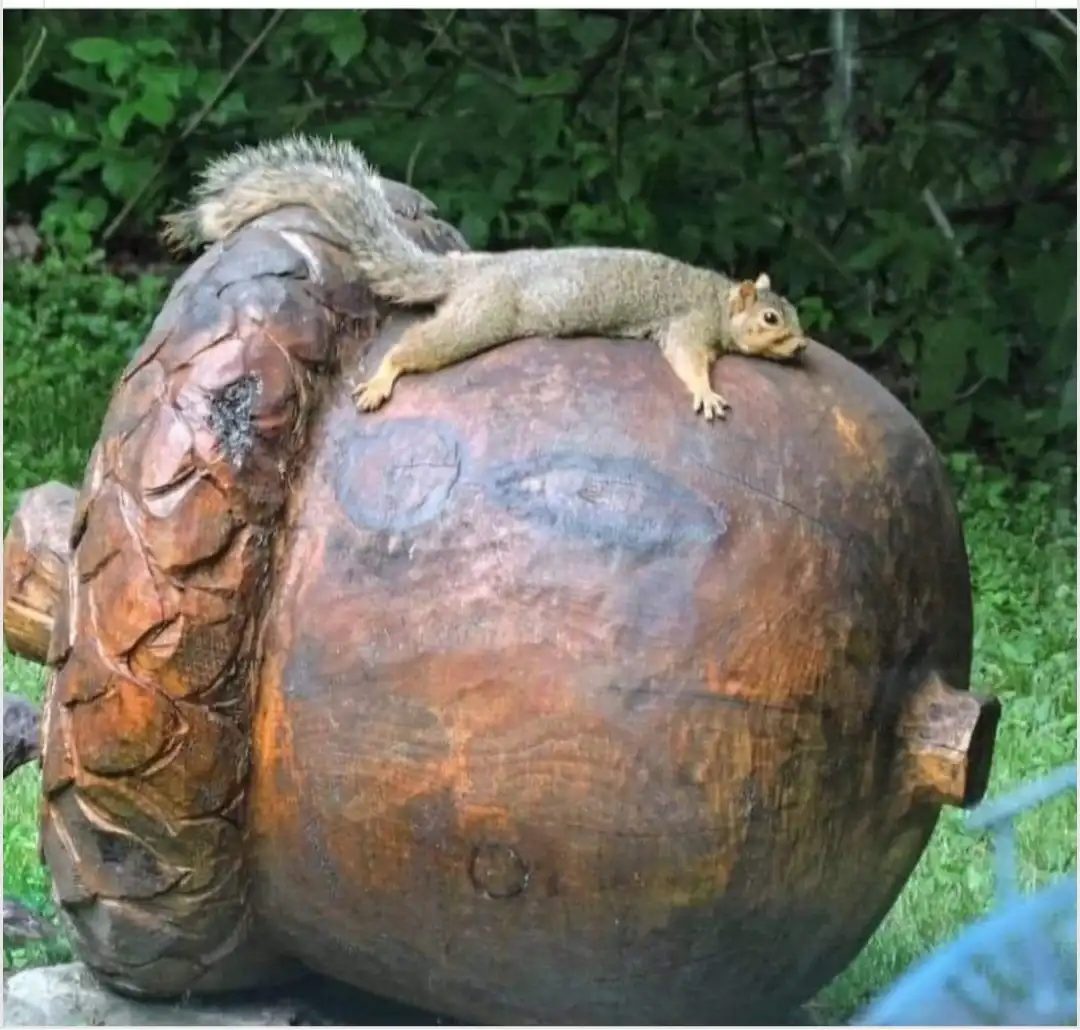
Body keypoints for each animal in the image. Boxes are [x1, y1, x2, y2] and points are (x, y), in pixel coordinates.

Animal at [163, 135, 808, 421]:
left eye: (796, 314)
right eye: (771, 317)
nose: (802, 346)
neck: (718, 298)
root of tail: (473, 269)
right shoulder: (688, 325)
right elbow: (687, 360)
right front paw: (705, 392)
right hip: (480, 319)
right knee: (416, 345)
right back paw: (382, 378)